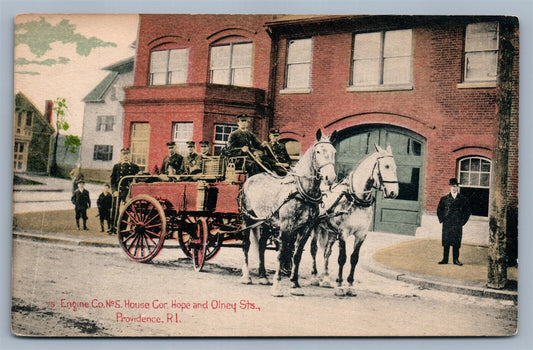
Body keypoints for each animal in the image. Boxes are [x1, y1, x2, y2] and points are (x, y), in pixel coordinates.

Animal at [241, 130, 336, 296]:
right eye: (318, 151)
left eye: (334, 152)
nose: (330, 177)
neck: (301, 191)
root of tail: (251, 178)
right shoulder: (286, 226)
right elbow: (282, 253)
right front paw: (277, 286)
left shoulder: (306, 228)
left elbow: (297, 255)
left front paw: (295, 284)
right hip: (248, 218)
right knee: (246, 245)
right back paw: (247, 276)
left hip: (266, 222)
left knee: (261, 246)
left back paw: (263, 276)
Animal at [308, 144, 400, 296]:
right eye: (386, 166)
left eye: (395, 167)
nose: (394, 192)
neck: (356, 199)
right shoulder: (343, 233)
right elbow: (342, 258)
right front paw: (340, 286)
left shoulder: (361, 234)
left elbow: (354, 259)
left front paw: (350, 286)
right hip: (315, 227)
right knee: (313, 249)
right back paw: (314, 276)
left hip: (331, 231)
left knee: (327, 252)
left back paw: (325, 278)